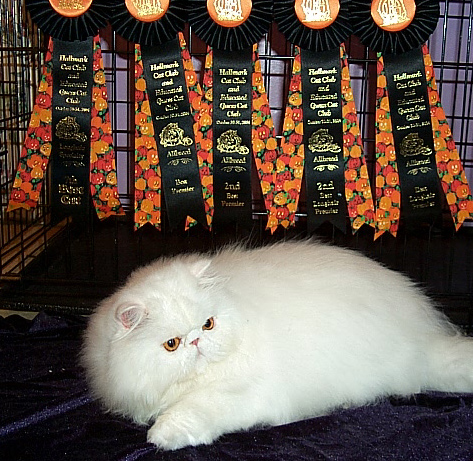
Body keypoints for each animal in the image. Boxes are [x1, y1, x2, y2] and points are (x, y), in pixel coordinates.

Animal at [83, 241, 472, 450]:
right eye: (172, 344)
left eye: (208, 324)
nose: (197, 340)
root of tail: (425, 339)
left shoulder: (241, 392)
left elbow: (192, 411)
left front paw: (162, 436)